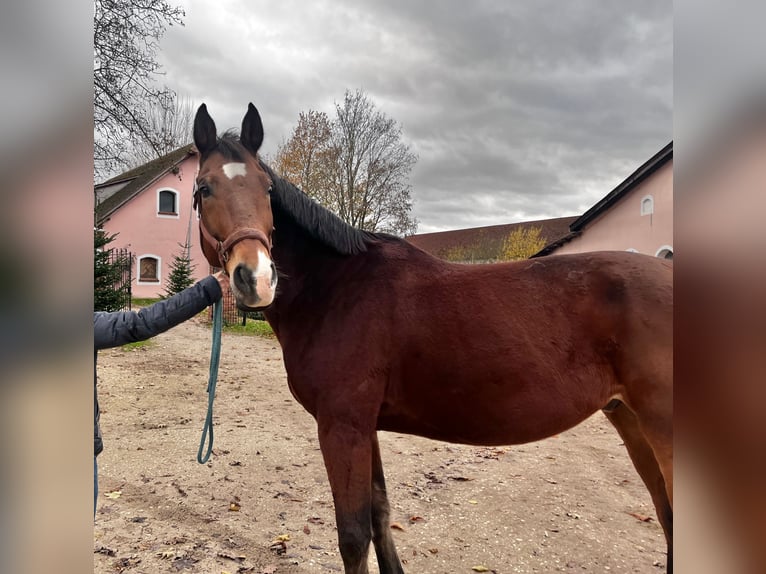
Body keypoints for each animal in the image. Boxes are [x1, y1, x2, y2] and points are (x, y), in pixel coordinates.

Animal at [192, 104, 672, 574]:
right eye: (204, 188)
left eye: (267, 189)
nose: (256, 277)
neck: (337, 286)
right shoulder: (364, 427)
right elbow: (380, 515)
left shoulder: (342, 426)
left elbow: (353, 536)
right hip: (631, 421)